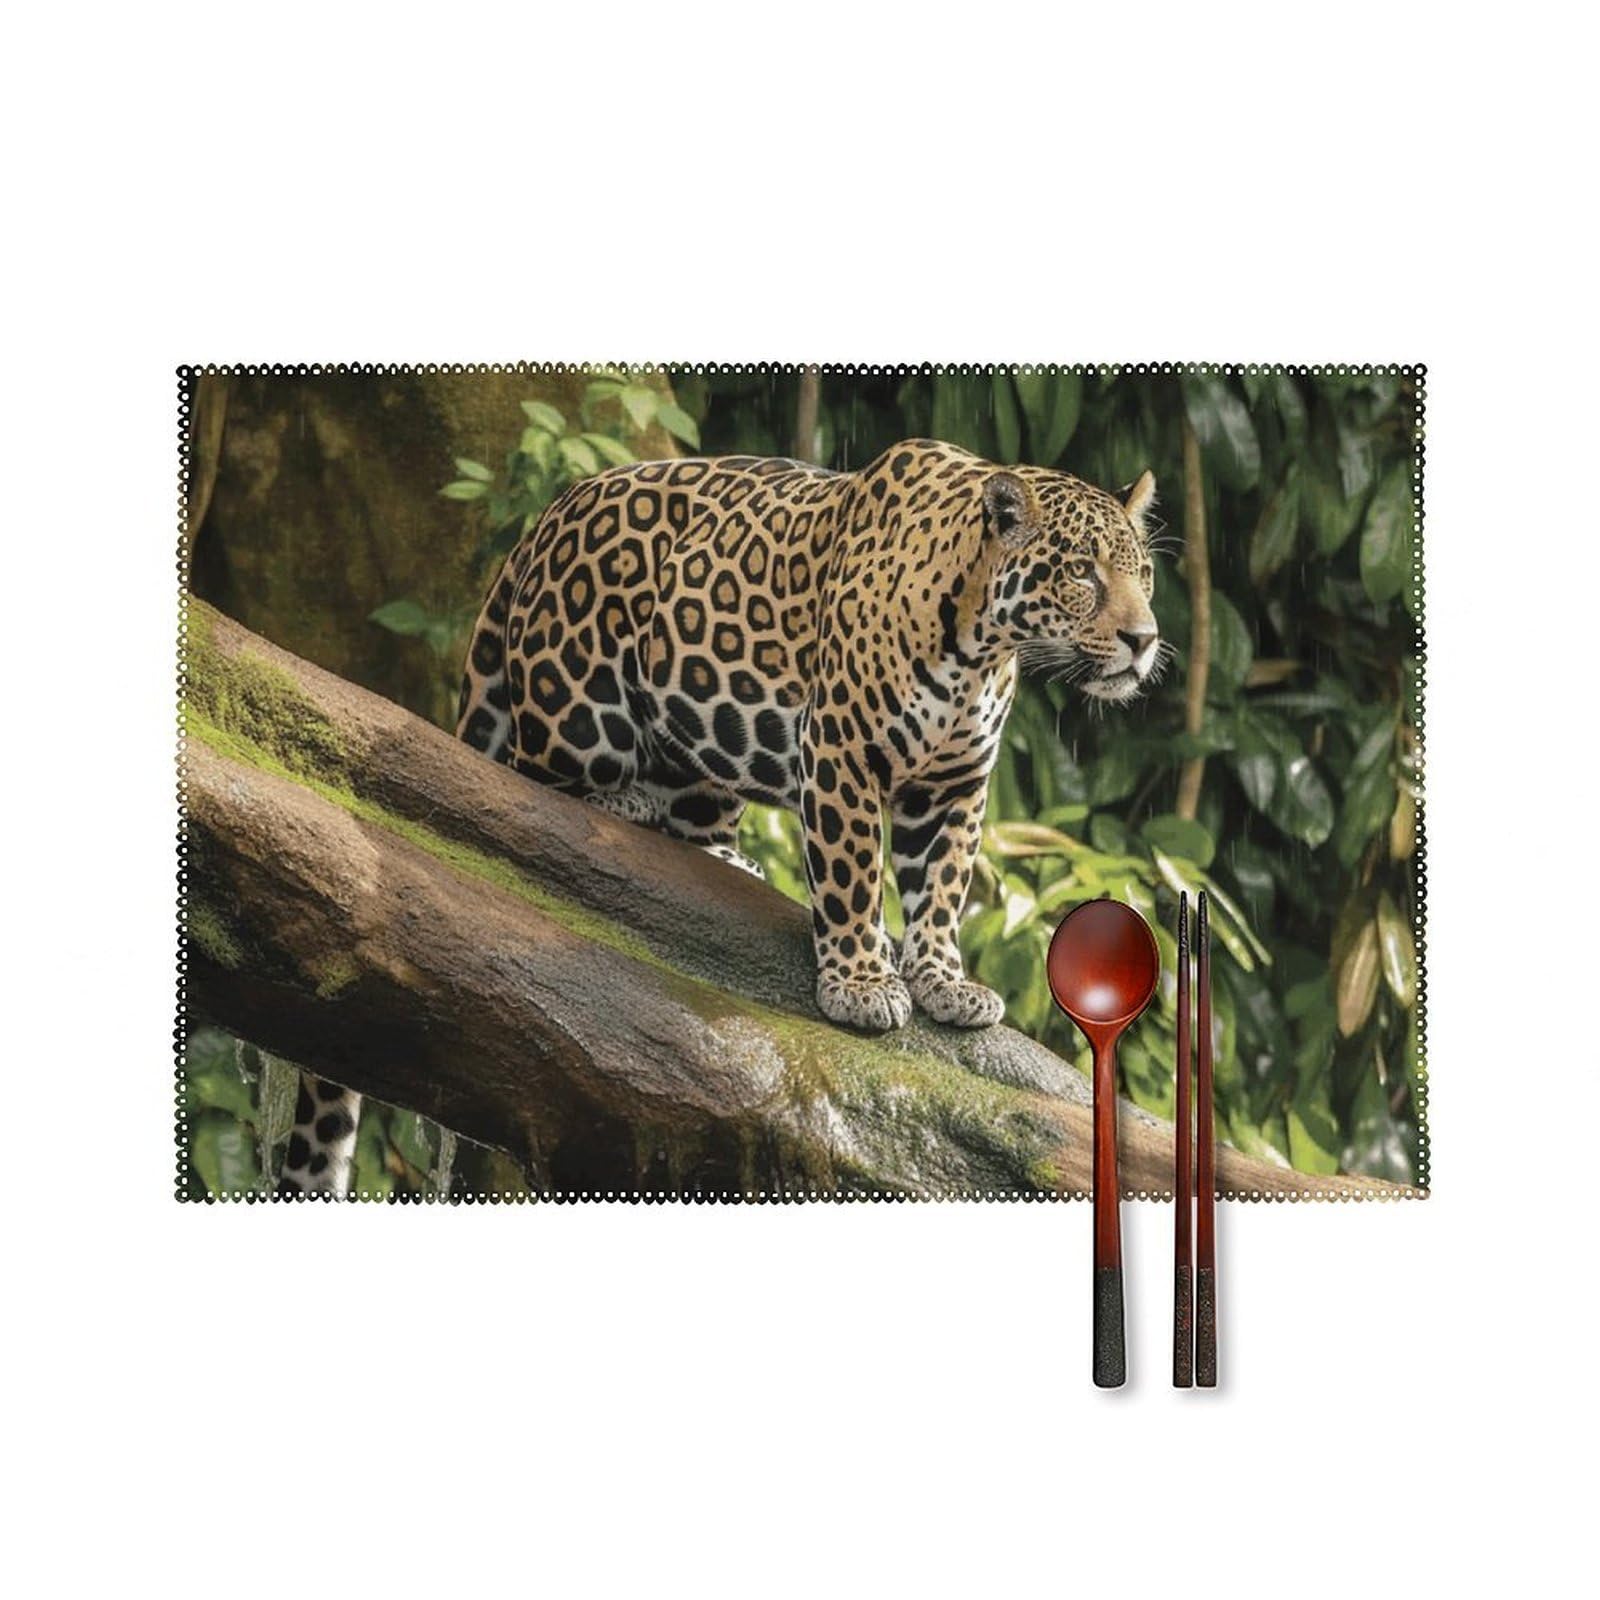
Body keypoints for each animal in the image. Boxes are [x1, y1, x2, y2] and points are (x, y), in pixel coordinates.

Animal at [277, 438, 1161, 1195]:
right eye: (1082, 574)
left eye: (1144, 572)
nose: (1145, 639)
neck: (980, 641)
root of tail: (540, 525)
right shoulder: (840, 749)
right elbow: (853, 874)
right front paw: (861, 985)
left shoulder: (955, 786)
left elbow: (940, 891)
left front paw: (943, 982)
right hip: (581, 708)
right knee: (526, 778)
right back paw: (622, 802)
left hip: (703, 728)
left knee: (692, 813)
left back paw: (727, 860)